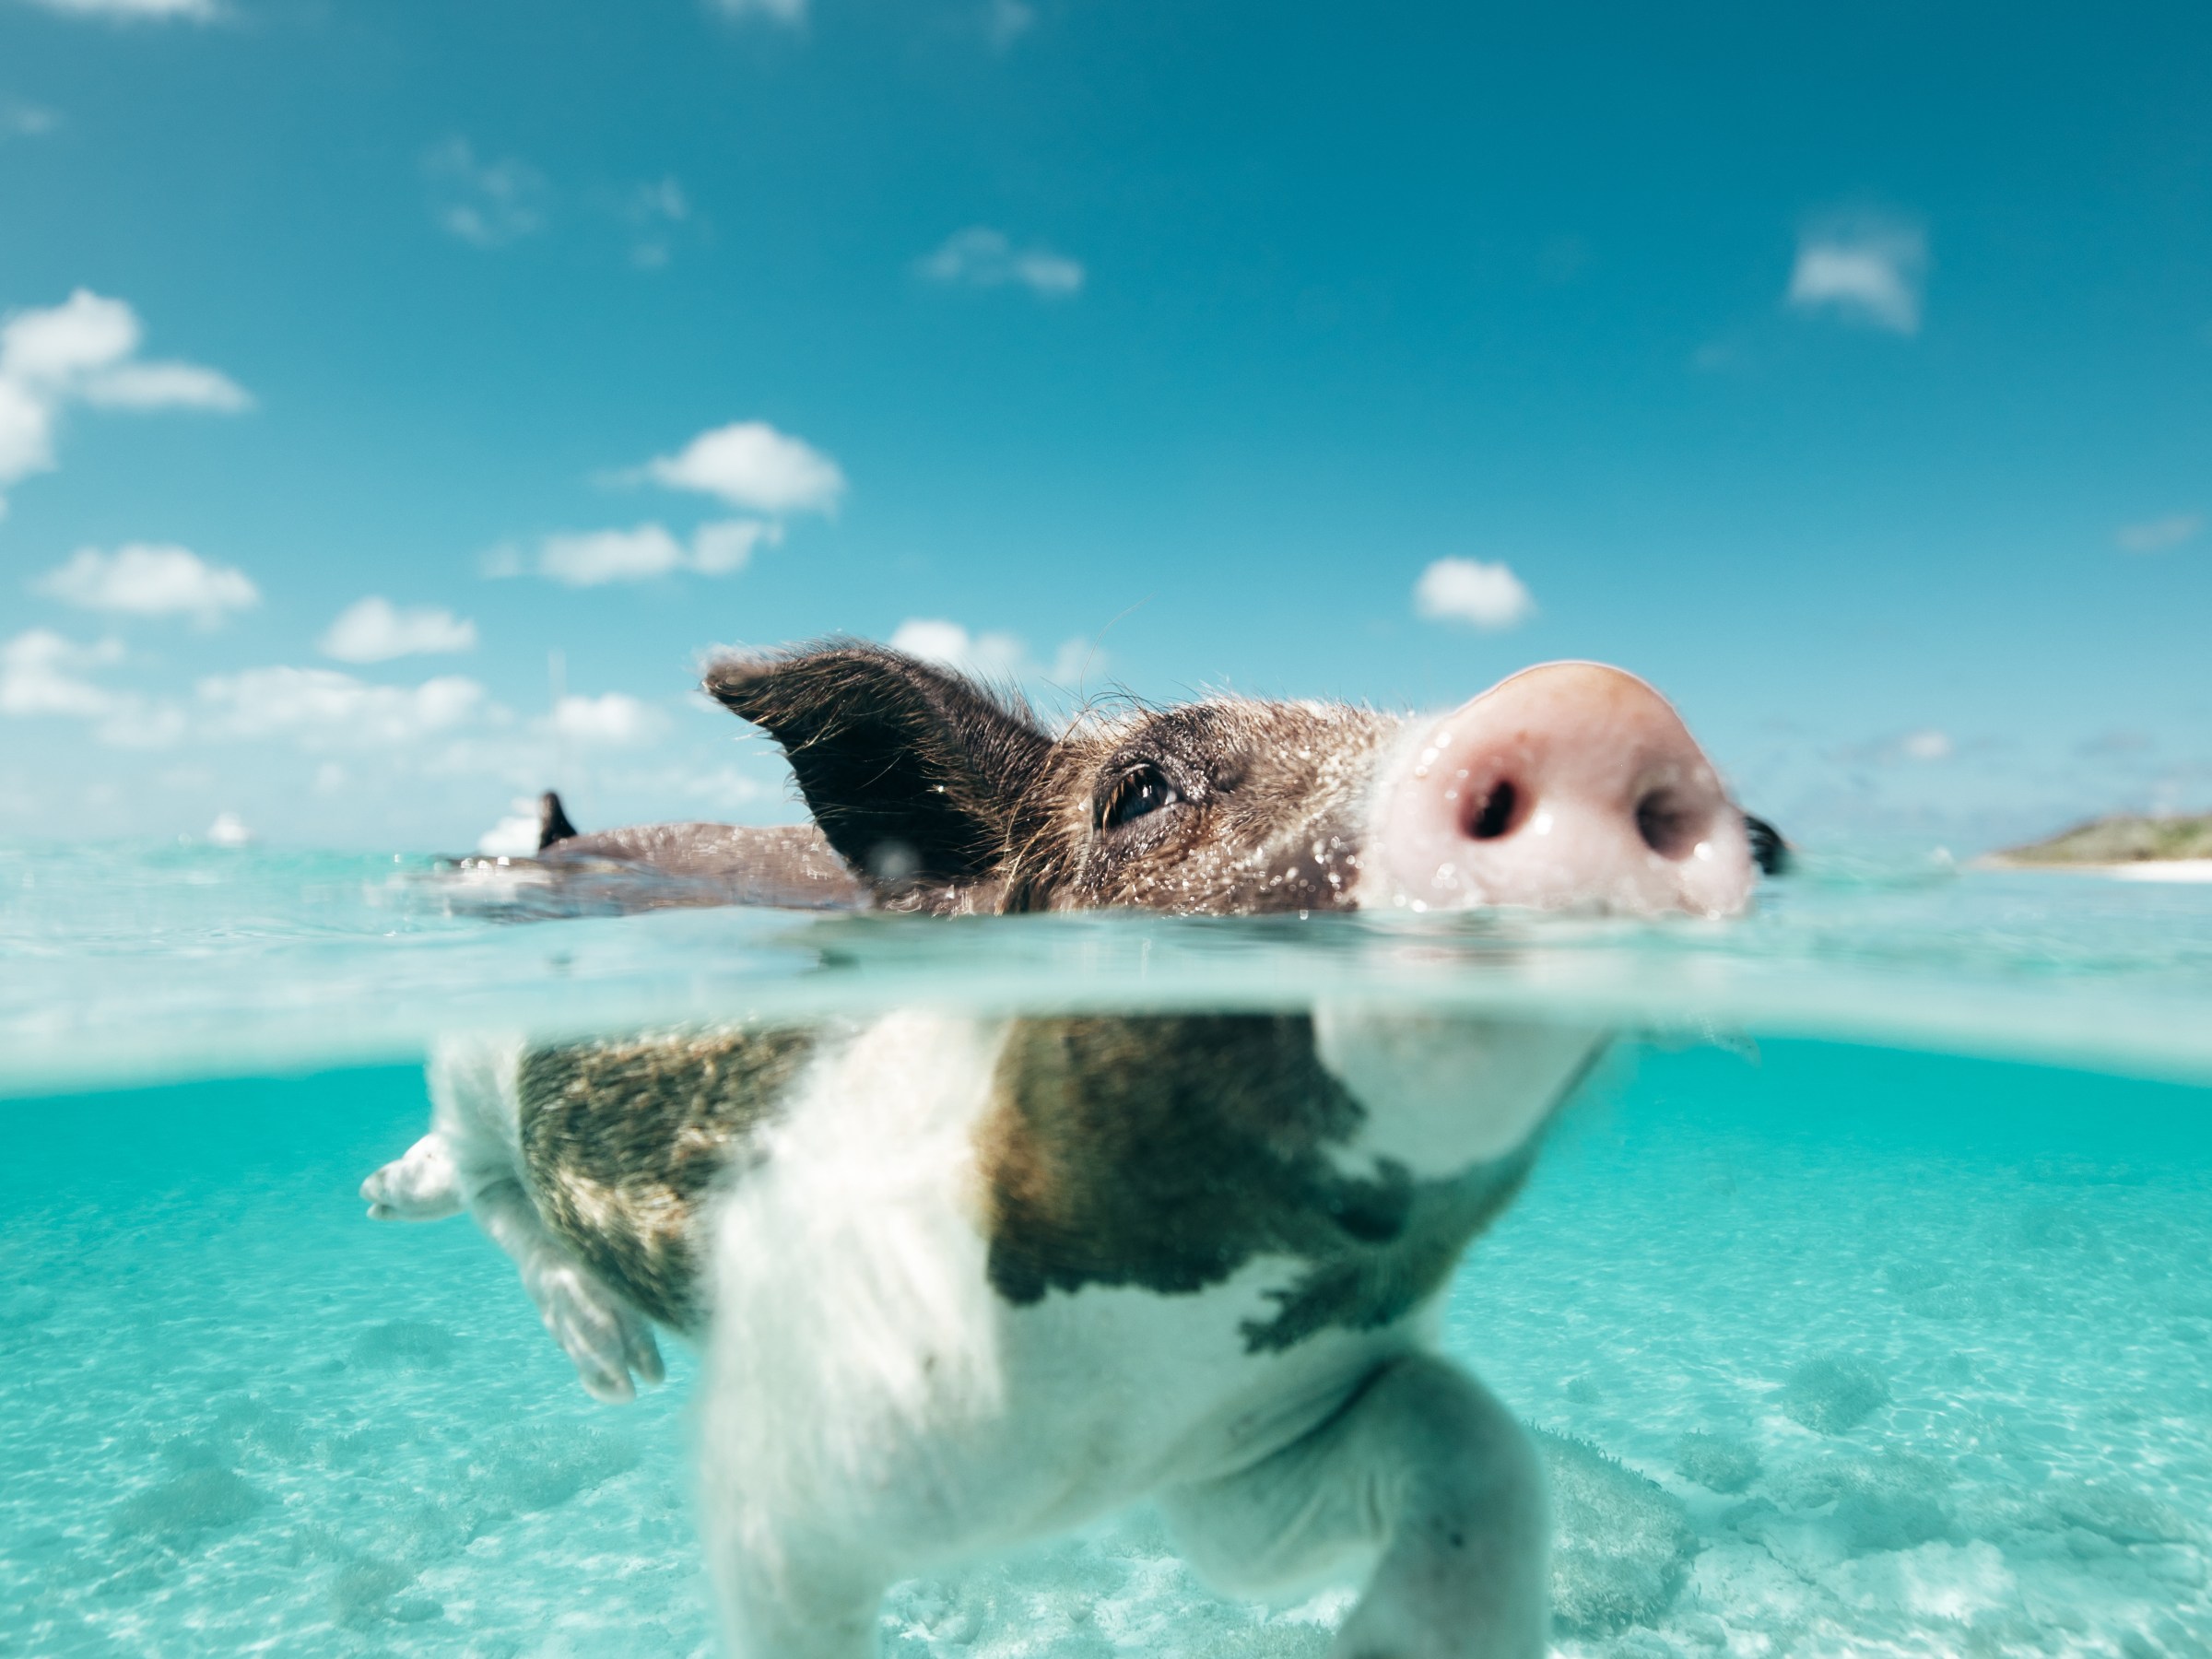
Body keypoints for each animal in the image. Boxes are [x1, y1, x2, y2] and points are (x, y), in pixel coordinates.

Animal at [363, 642, 1780, 1659]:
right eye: (1138, 793)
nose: (1598, 700)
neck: (1118, 1401)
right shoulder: (794, 1475)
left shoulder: (1238, 1466)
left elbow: (1469, 1447)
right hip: (485, 1046)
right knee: (477, 1169)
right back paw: (582, 1341)